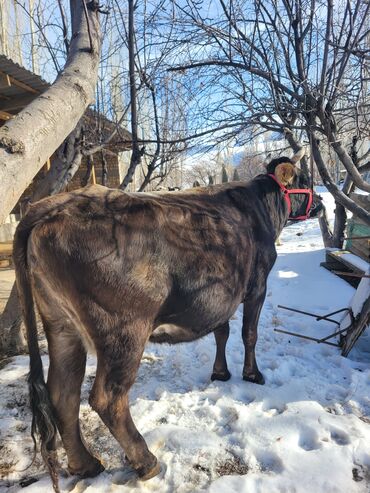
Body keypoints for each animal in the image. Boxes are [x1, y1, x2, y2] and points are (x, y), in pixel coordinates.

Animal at [13, 148, 320, 490]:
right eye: (305, 178)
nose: (320, 203)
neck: (261, 208)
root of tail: (53, 204)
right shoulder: (257, 286)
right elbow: (248, 334)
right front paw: (253, 375)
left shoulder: (220, 296)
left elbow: (222, 332)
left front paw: (220, 373)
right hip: (123, 330)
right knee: (107, 397)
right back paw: (146, 461)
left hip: (60, 324)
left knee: (63, 393)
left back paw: (86, 464)